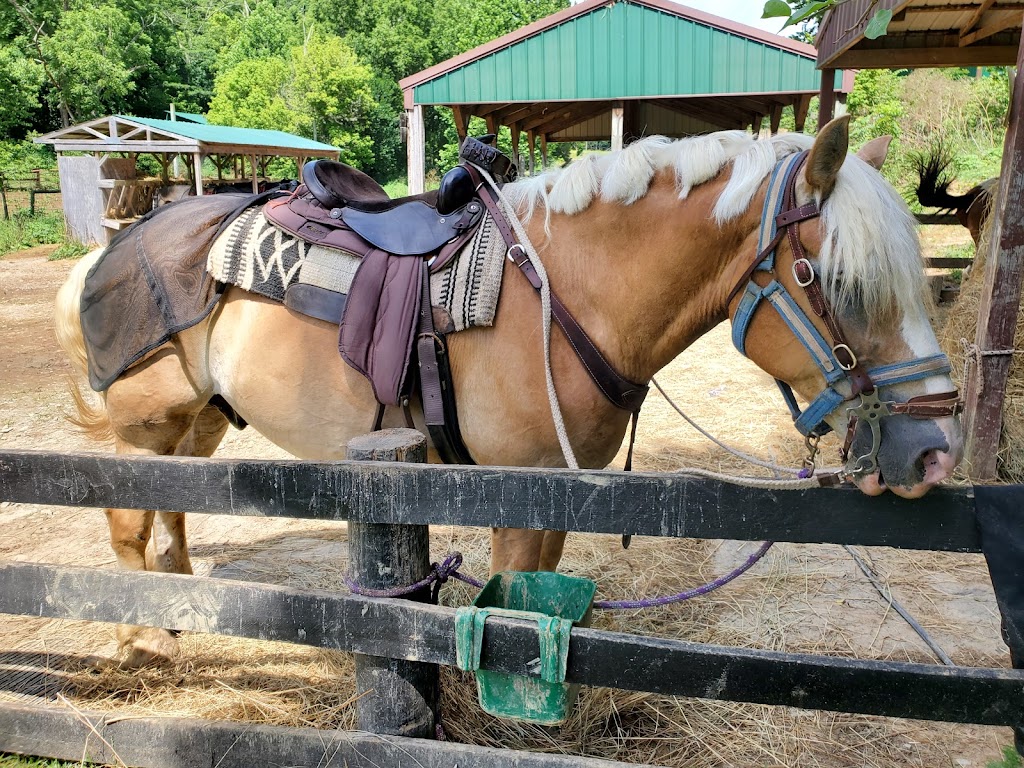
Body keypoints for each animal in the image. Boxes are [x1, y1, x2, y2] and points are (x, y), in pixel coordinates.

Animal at [59, 115, 962, 667]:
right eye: (839, 284)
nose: (936, 452)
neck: (566, 296)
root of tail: (117, 245)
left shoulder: (555, 489)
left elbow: (542, 602)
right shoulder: (514, 493)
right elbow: (511, 615)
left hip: (201, 423)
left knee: (173, 515)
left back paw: (179, 612)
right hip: (145, 428)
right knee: (130, 528)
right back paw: (141, 638)